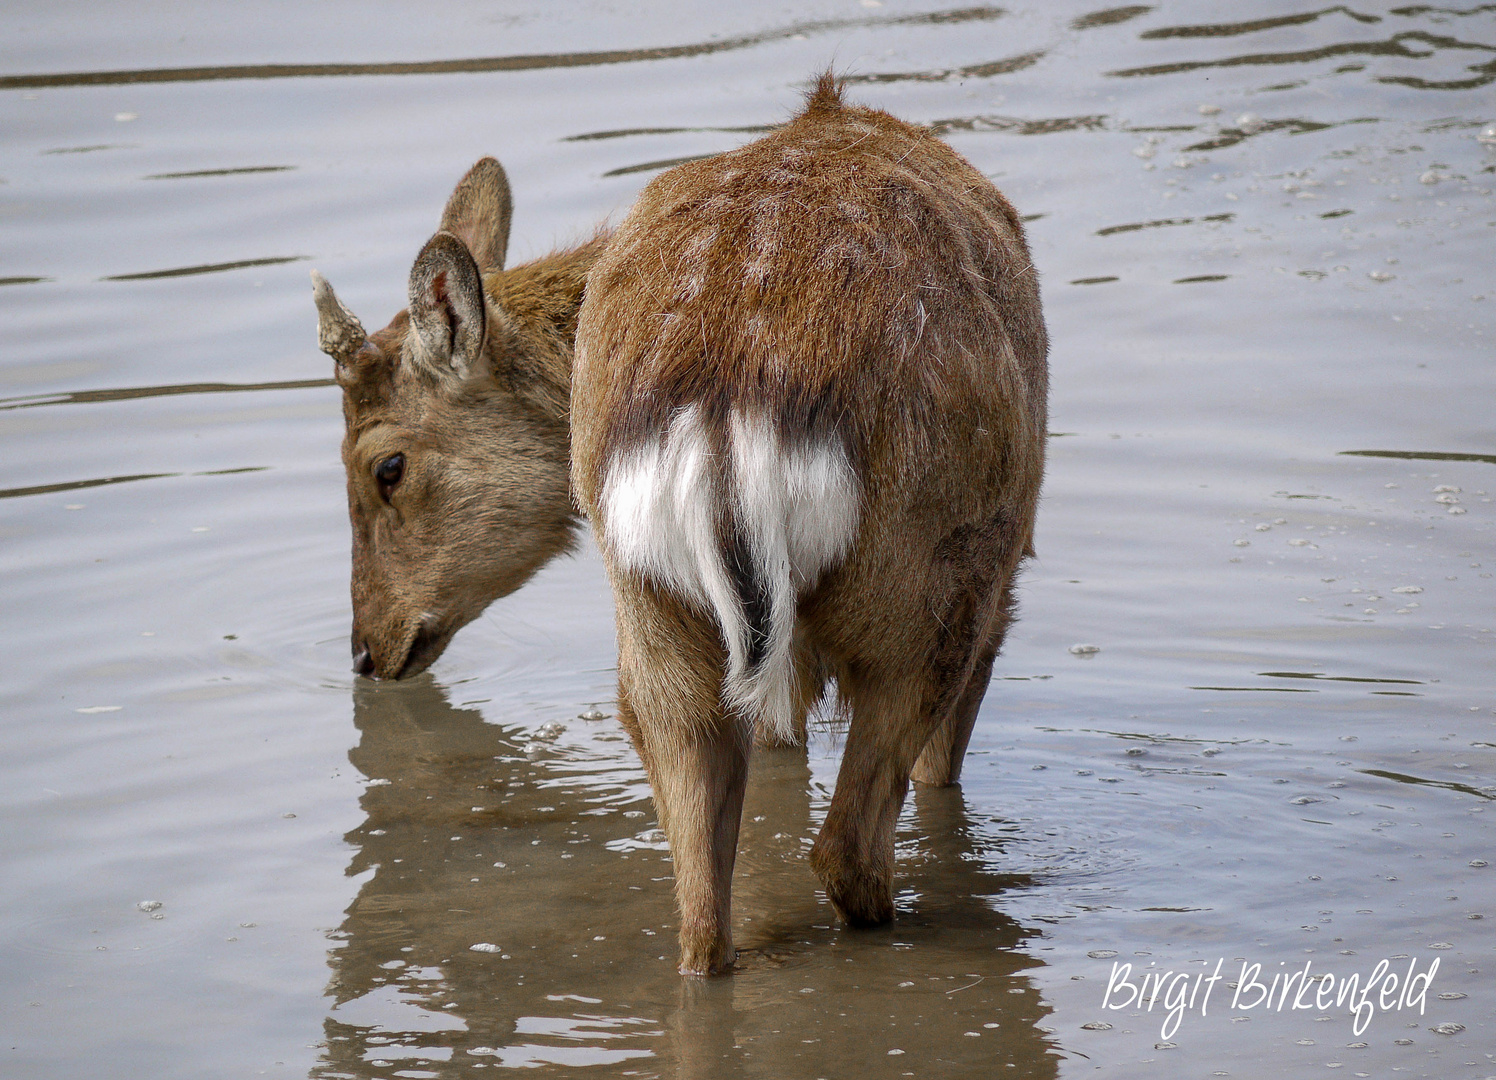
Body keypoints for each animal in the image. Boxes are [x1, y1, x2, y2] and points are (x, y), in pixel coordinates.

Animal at [309, 71, 1047, 969]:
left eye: (386, 466)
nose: (366, 650)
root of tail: (728, 394)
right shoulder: (1007, 570)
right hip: (936, 574)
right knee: (848, 843)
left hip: (656, 600)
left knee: (699, 882)